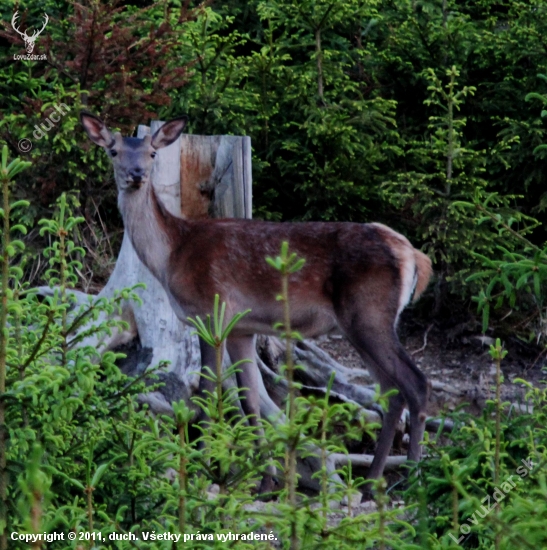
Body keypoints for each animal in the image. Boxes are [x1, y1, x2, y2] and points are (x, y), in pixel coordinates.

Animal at [80, 111, 432, 488]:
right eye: (114, 151)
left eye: (152, 153)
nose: (136, 174)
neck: (172, 255)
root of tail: (413, 256)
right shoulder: (241, 328)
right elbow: (249, 398)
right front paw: (265, 481)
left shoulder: (211, 311)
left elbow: (209, 391)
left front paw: (206, 469)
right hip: (363, 323)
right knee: (391, 391)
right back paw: (373, 481)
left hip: (368, 313)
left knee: (416, 384)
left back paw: (412, 478)